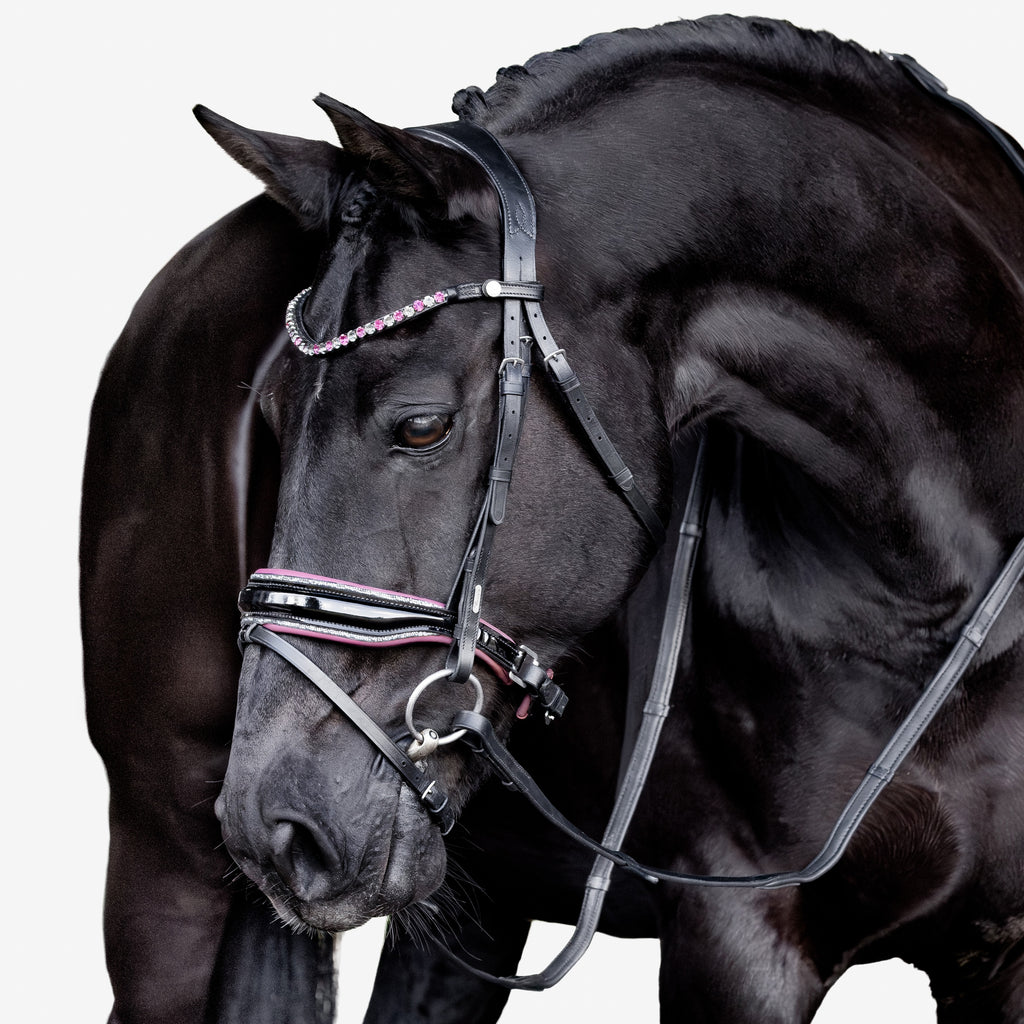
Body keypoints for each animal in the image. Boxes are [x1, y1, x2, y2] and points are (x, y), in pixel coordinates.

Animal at [81, 15, 1024, 1024]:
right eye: (270, 413)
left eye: (422, 424)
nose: (277, 825)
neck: (927, 601)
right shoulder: (736, 946)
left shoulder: (996, 954)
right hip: (163, 858)